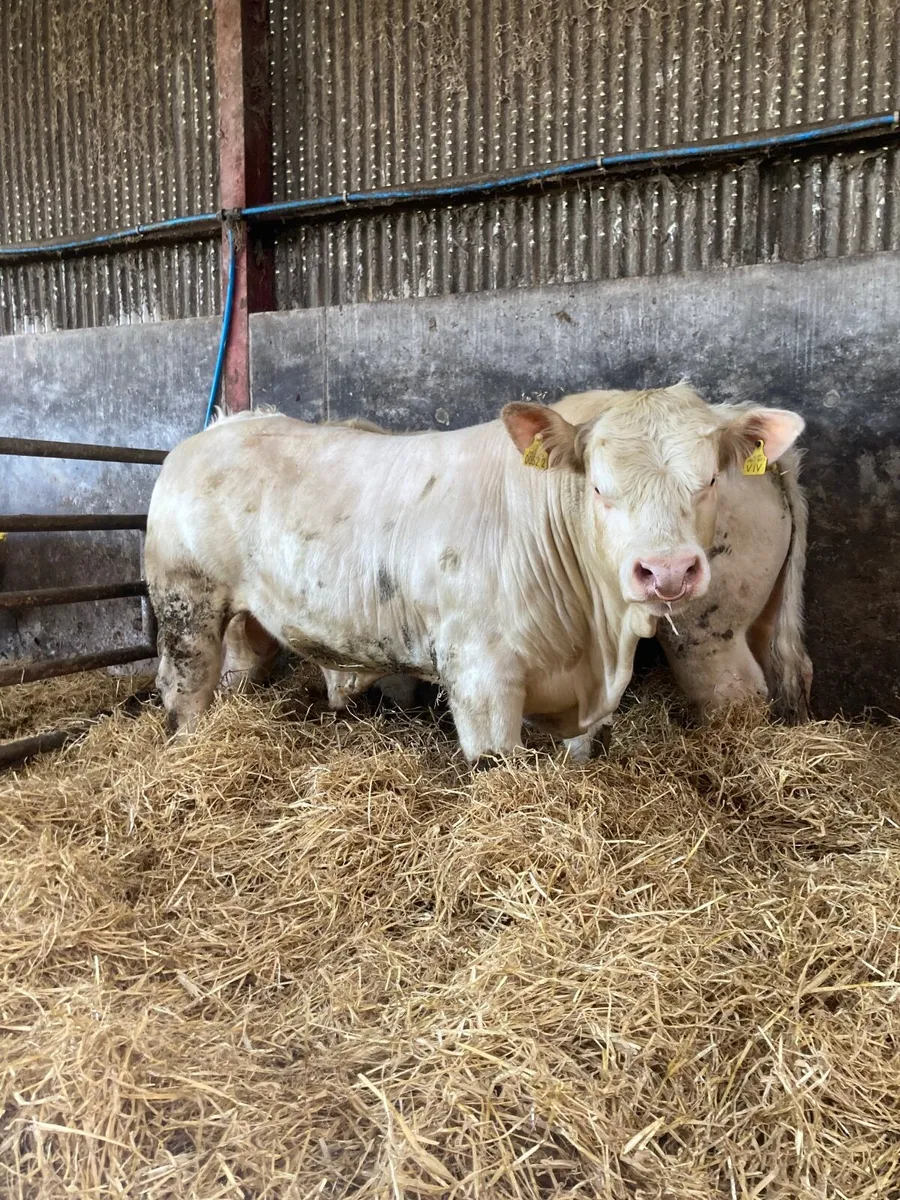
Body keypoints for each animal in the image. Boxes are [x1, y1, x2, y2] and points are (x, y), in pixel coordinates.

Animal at [145, 386, 805, 765]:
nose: (667, 569)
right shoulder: (481, 674)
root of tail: (210, 433)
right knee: (185, 692)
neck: (597, 640)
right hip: (188, 604)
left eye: (710, 480)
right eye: (598, 487)